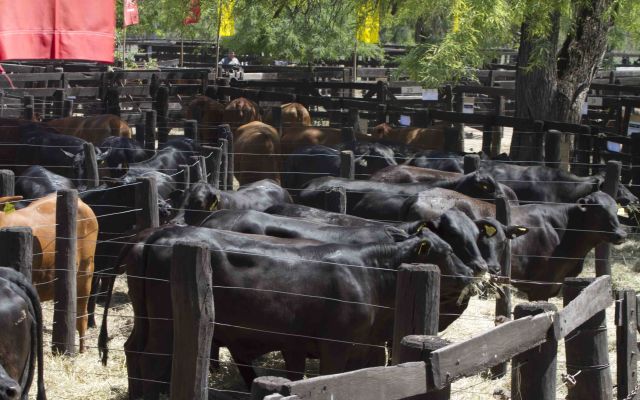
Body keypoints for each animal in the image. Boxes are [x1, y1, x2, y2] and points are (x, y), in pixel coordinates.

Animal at [101, 224, 478, 397]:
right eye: (446, 251)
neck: (369, 272)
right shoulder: (336, 346)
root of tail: (160, 232)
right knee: (151, 358)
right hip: (166, 324)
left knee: (132, 350)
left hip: (145, 319)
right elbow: (329, 379)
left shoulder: (312, 345)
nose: (472, 273)